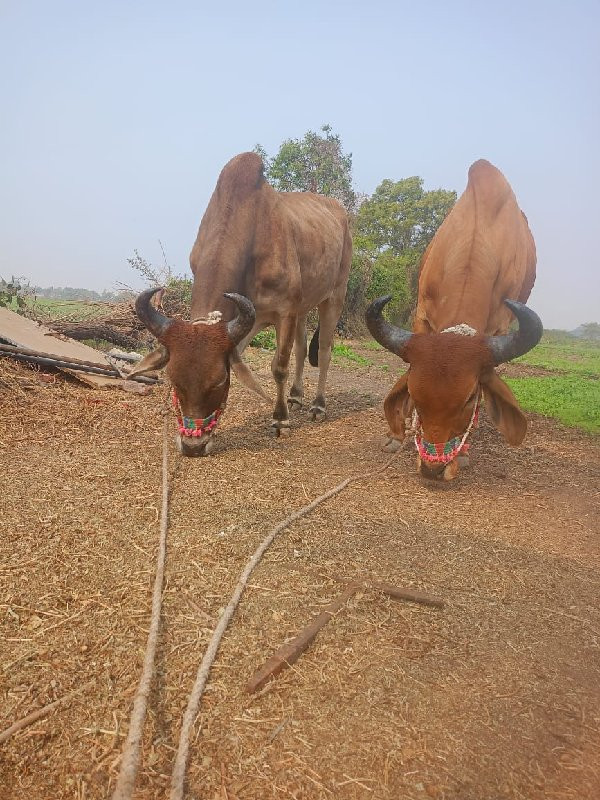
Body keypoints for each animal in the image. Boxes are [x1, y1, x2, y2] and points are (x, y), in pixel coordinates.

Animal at [366, 159, 544, 478]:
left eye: (470, 399)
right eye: (415, 395)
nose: (433, 468)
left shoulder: (500, 326)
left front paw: (463, 453)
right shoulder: (421, 315)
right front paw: (396, 436)